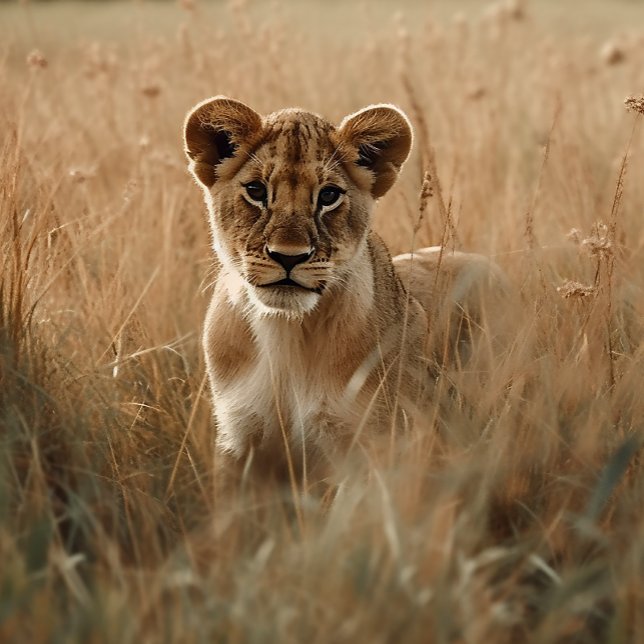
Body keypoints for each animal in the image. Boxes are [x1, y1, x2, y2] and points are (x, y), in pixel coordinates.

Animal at [183, 97, 506, 485]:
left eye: (329, 196)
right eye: (256, 191)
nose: (288, 256)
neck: (284, 332)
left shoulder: (371, 447)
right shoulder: (240, 442)